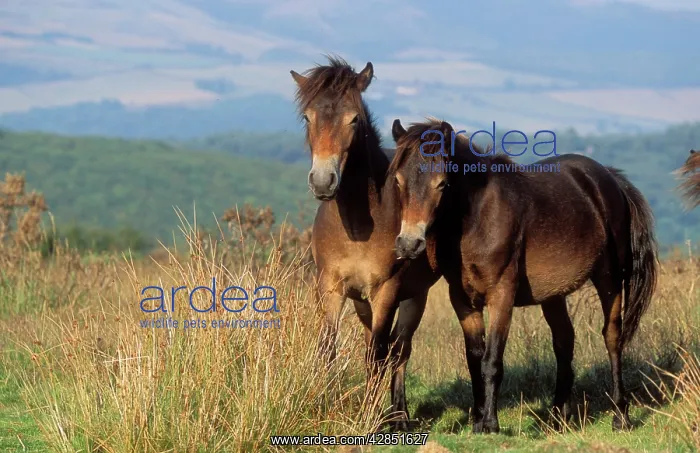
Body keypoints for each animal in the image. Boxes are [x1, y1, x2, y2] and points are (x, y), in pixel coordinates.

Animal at [288, 57, 441, 429]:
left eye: (354, 119)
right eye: (308, 117)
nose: (323, 181)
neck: (358, 224)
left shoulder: (386, 290)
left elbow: (378, 354)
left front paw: (369, 418)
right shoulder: (330, 287)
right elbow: (327, 349)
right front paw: (325, 405)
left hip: (415, 297)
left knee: (399, 351)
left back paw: (398, 415)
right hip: (361, 303)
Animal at [388, 118, 658, 434]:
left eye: (442, 183)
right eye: (398, 180)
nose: (409, 244)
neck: (478, 219)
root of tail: (610, 180)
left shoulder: (501, 295)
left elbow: (492, 361)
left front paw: (490, 424)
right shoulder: (463, 299)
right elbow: (474, 358)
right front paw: (478, 420)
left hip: (610, 279)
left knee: (612, 337)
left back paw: (620, 415)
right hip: (554, 294)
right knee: (564, 340)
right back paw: (557, 416)